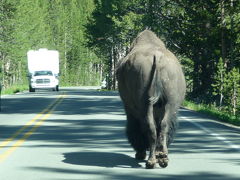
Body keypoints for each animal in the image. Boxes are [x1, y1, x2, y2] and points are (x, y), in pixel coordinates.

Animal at [116, 29, 186, 169]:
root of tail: (157, 57)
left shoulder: (130, 110)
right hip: (169, 104)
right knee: (162, 126)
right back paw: (161, 158)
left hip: (146, 106)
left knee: (151, 127)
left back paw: (151, 160)